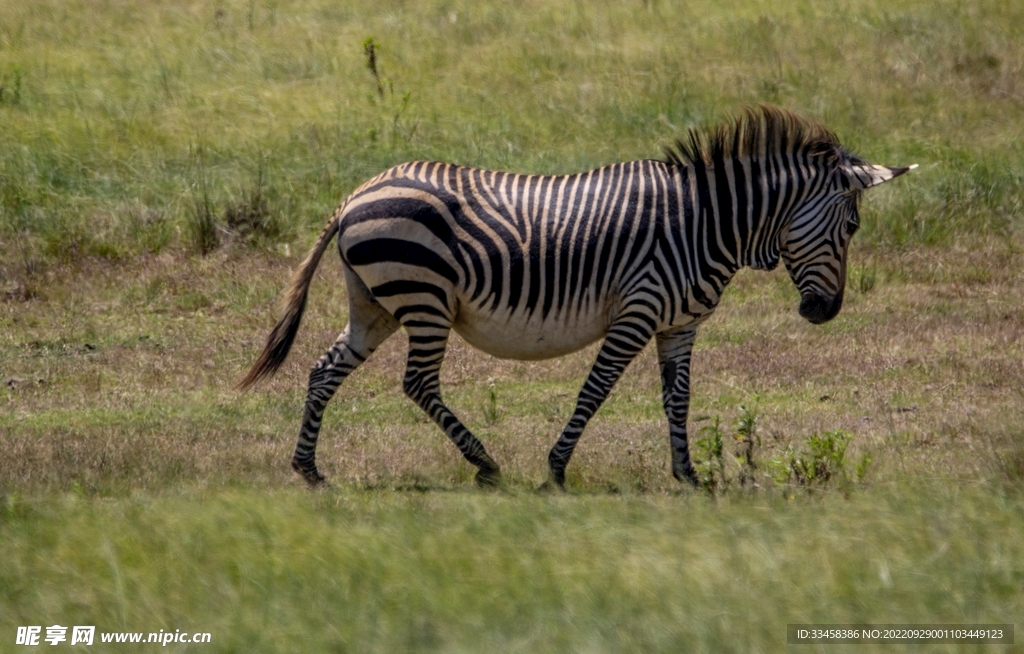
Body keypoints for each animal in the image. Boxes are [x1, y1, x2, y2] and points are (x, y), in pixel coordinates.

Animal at [237, 104, 913, 489]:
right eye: (852, 227)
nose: (824, 313)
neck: (704, 224)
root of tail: (355, 194)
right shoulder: (637, 311)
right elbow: (597, 390)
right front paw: (557, 469)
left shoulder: (680, 325)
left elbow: (679, 399)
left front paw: (689, 475)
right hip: (424, 298)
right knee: (418, 383)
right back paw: (485, 465)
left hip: (374, 303)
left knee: (325, 369)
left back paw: (309, 468)